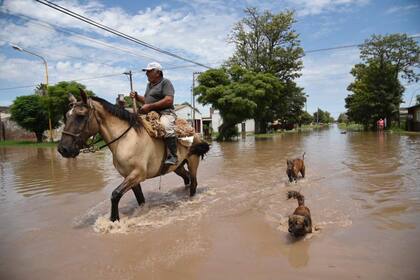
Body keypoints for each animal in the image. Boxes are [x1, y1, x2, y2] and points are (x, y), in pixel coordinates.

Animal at [56, 89, 210, 221]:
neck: (125, 139)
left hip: (193, 161)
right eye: (67, 116)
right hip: (178, 166)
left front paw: (114, 220)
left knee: (193, 182)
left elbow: (115, 194)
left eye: (80, 116)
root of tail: (194, 131)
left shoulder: (137, 174)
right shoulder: (129, 177)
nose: (63, 149)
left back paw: (191, 199)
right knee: (187, 178)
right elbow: (140, 199)